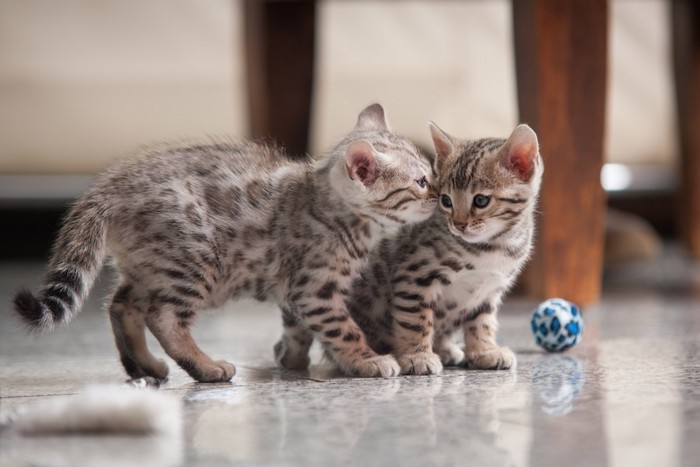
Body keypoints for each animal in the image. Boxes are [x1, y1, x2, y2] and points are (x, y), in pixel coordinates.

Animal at [13, 104, 434, 382]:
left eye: (430, 173)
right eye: (421, 182)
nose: (440, 196)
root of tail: (113, 184)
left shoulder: (296, 292)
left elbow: (296, 328)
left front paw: (294, 358)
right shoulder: (315, 288)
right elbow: (342, 328)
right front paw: (367, 359)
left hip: (150, 266)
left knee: (120, 305)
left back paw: (146, 365)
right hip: (193, 261)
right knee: (163, 316)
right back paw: (207, 366)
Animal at [348, 122, 544, 374]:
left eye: (481, 200)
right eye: (446, 201)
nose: (458, 224)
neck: (492, 247)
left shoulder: (489, 291)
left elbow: (482, 322)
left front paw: (484, 351)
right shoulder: (413, 275)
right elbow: (415, 320)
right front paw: (417, 356)